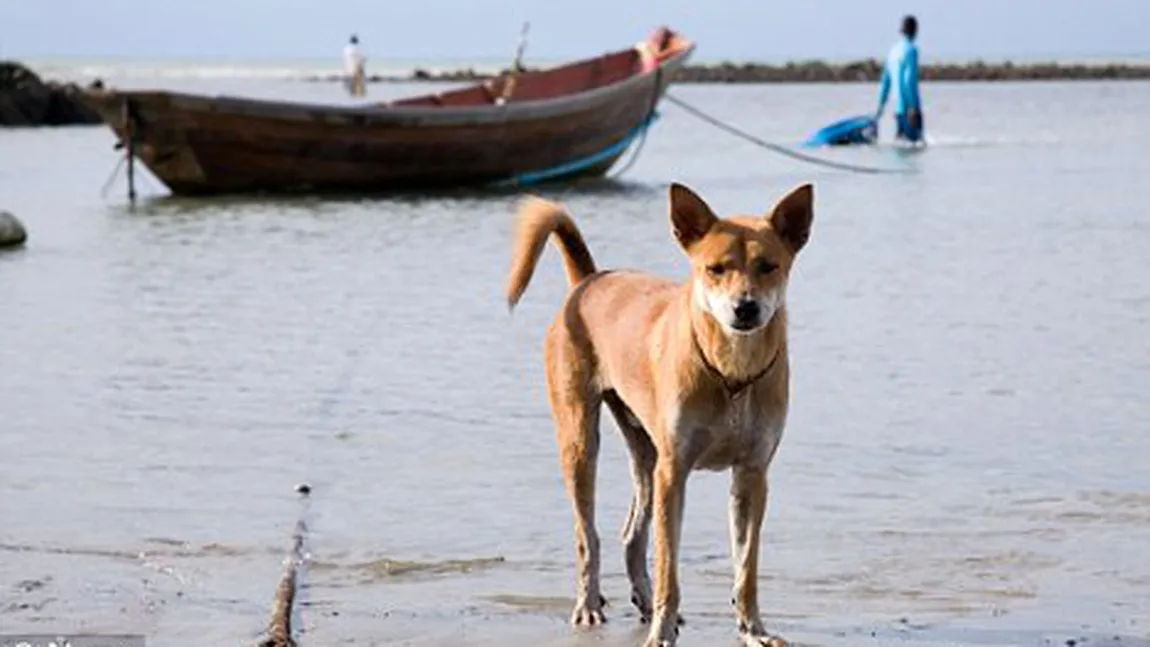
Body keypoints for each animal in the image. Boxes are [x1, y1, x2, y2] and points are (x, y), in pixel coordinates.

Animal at [508, 183, 814, 647]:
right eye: (715, 269)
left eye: (769, 267)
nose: (745, 308)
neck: (731, 373)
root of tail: (590, 280)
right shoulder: (674, 472)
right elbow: (669, 562)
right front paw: (662, 631)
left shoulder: (752, 474)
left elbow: (746, 566)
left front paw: (754, 630)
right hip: (580, 439)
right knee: (587, 535)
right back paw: (589, 604)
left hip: (645, 449)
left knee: (632, 535)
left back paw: (644, 599)